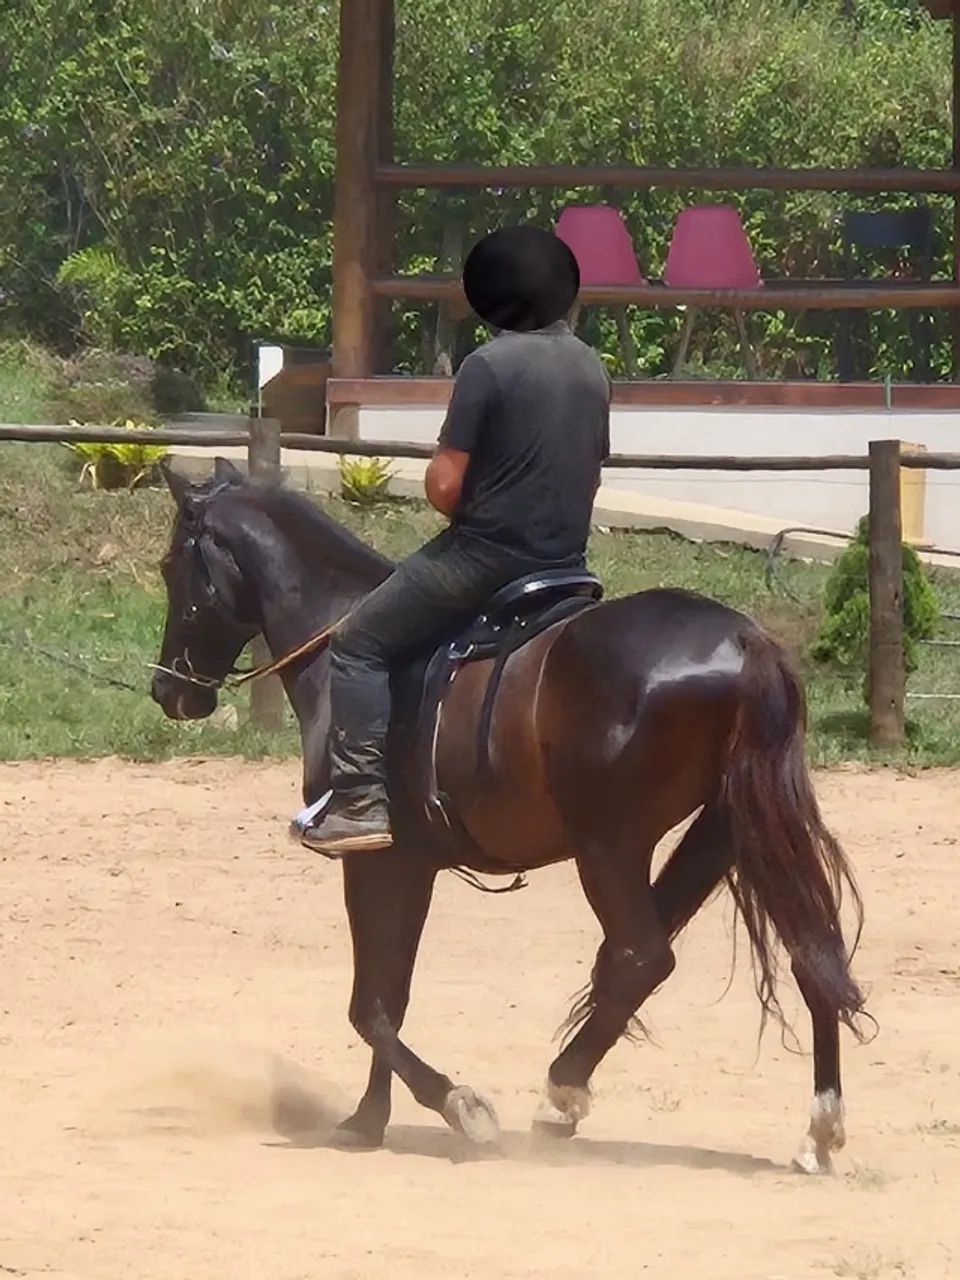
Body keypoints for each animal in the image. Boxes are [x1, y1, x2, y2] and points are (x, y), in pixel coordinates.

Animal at [151, 457, 868, 1173]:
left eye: (170, 565)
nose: (168, 691)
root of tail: (743, 641)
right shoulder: (414, 865)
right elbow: (392, 997)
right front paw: (369, 1119)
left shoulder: (379, 861)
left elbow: (371, 1005)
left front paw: (453, 1105)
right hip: (733, 833)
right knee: (808, 954)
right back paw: (818, 1127)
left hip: (610, 846)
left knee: (640, 959)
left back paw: (560, 1094)